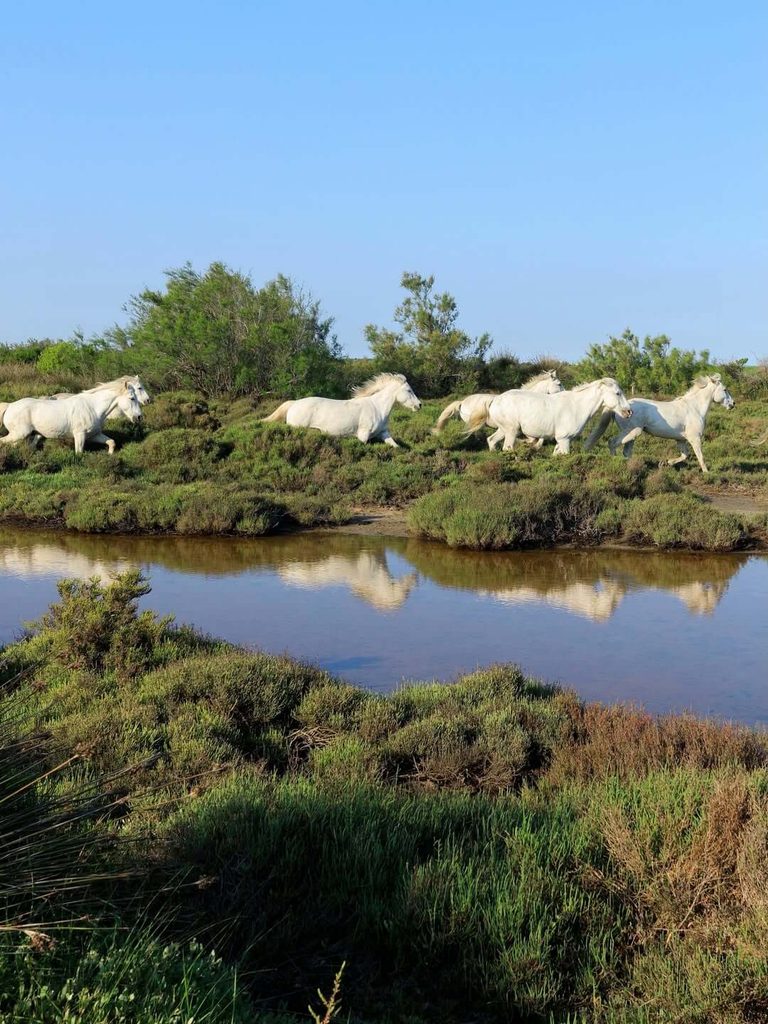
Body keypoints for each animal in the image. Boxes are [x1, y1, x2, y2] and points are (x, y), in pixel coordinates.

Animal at [1, 380, 142, 454]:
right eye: (132, 398)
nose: (139, 417)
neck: (93, 407)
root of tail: (10, 405)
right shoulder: (80, 435)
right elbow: (79, 453)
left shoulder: (94, 435)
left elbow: (111, 442)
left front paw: (110, 455)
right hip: (19, 434)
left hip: (26, 435)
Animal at [263, 372, 421, 446]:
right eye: (409, 390)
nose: (420, 405)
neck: (377, 408)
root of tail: (294, 404)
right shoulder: (363, 436)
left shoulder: (383, 433)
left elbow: (395, 446)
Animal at [465, 377, 632, 454]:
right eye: (618, 393)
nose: (629, 411)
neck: (576, 406)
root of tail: (495, 399)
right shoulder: (564, 440)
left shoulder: (561, 441)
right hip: (512, 431)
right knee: (507, 447)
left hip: (504, 430)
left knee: (491, 440)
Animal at [583, 373, 734, 474]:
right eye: (725, 389)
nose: (733, 404)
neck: (694, 408)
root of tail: (620, 408)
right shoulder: (695, 438)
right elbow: (700, 456)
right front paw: (707, 473)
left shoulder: (681, 440)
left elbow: (684, 455)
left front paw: (666, 463)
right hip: (631, 431)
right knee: (612, 442)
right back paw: (616, 463)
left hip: (632, 434)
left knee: (626, 451)